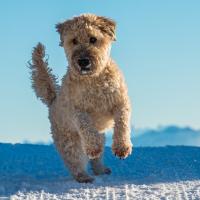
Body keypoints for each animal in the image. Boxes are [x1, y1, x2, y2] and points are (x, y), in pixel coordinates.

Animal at [29, 13, 133, 183]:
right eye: (74, 40)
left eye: (93, 39)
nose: (83, 61)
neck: (93, 80)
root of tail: (53, 100)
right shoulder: (77, 110)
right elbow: (86, 125)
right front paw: (93, 148)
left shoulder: (120, 102)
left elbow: (122, 123)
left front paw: (122, 147)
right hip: (69, 140)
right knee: (75, 161)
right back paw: (84, 176)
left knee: (96, 159)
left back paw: (101, 169)